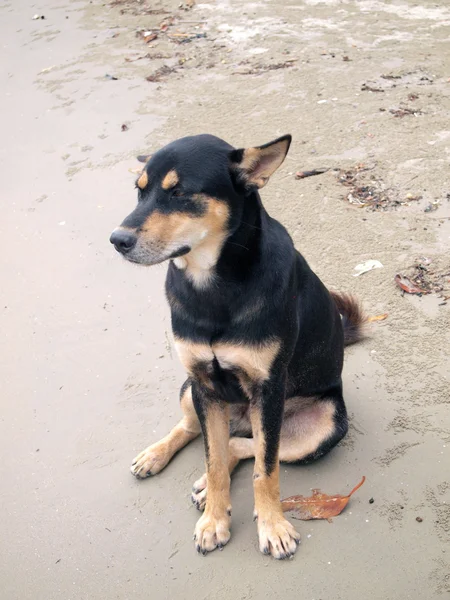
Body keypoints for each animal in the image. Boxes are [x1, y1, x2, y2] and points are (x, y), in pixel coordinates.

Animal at [110, 134, 366, 560]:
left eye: (179, 192)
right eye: (139, 191)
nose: (117, 240)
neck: (214, 284)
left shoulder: (268, 388)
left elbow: (266, 468)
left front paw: (273, 527)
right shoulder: (204, 384)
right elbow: (214, 463)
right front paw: (214, 520)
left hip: (323, 425)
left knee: (247, 444)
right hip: (190, 391)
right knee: (200, 430)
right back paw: (156, 455)